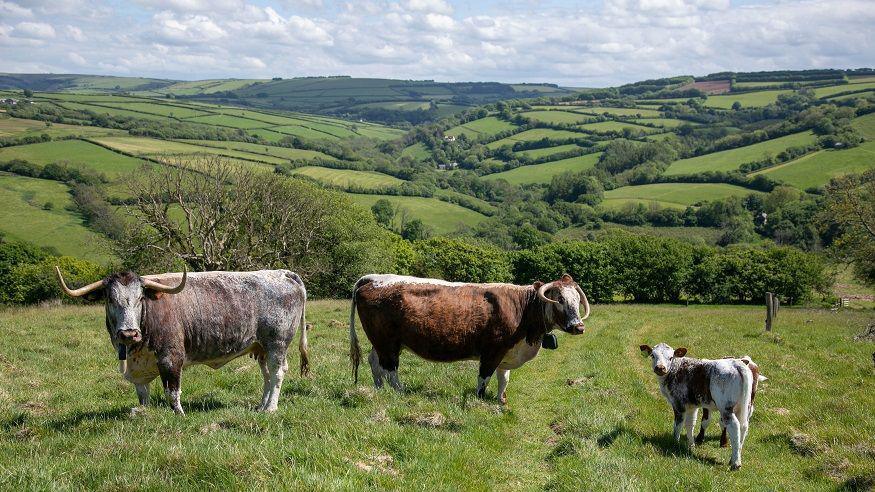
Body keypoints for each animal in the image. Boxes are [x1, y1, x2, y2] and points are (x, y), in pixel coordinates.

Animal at [54, 268, 308, 414]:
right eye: (110, 299)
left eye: (139, 298)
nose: (128, 333)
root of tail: (283, 272)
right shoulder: (139, 367)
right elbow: (142, 394)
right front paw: (143, 414)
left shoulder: (170, 358)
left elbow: (172, 392)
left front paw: (179, 415)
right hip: (261, 347)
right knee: (266, 376)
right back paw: (261, 406)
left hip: (277, 344)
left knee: (277, 373)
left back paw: (271, 408)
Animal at [348, 272, 588, 404]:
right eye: (559, 300)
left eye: (577, 300)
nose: (578, 326)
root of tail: (374, 278)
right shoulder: (492, 351)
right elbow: (484, 378)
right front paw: (480, 401)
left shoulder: (507, 354)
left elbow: (504, 379)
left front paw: (501, 402)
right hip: (387, 342)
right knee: (390, 369)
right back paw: (399, 392)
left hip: (381, 342)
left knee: (375, 363)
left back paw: (379, 389)